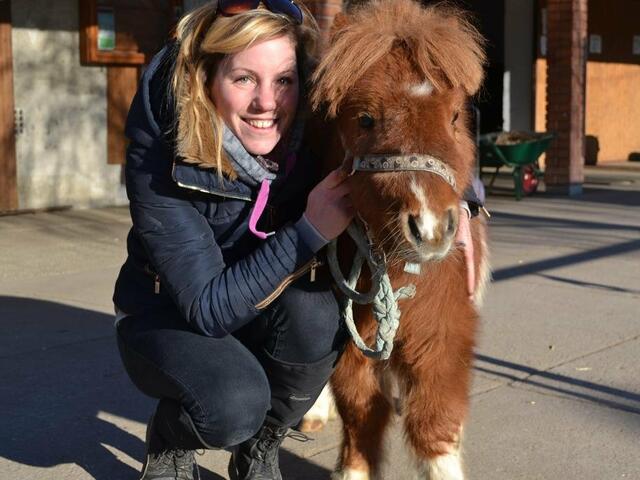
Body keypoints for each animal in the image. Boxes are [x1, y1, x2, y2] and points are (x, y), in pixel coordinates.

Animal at [306, 1, 490, 478]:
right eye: (364, 119)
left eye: (455, 117)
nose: (430, 227)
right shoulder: (351, 345)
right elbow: (360, 412)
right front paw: (351, 469)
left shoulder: (443, 334)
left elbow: (434, 424)